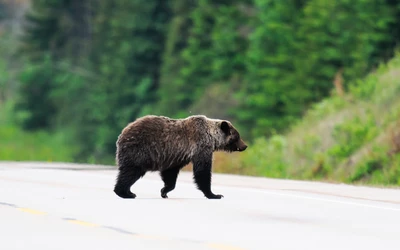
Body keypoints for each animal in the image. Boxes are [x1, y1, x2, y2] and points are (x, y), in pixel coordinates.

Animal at [112, 114, 247, 199]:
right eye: (237, 136)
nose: (245, 146)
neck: (212, 137)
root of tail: (122, 133)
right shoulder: (200, 146)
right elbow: (202, 171)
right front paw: (214, 194)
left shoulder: (176, 155)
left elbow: (170, 173)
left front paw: (164, 191)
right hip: (139, 151)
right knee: (131, 172)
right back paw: (125, 193)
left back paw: (128, 192)